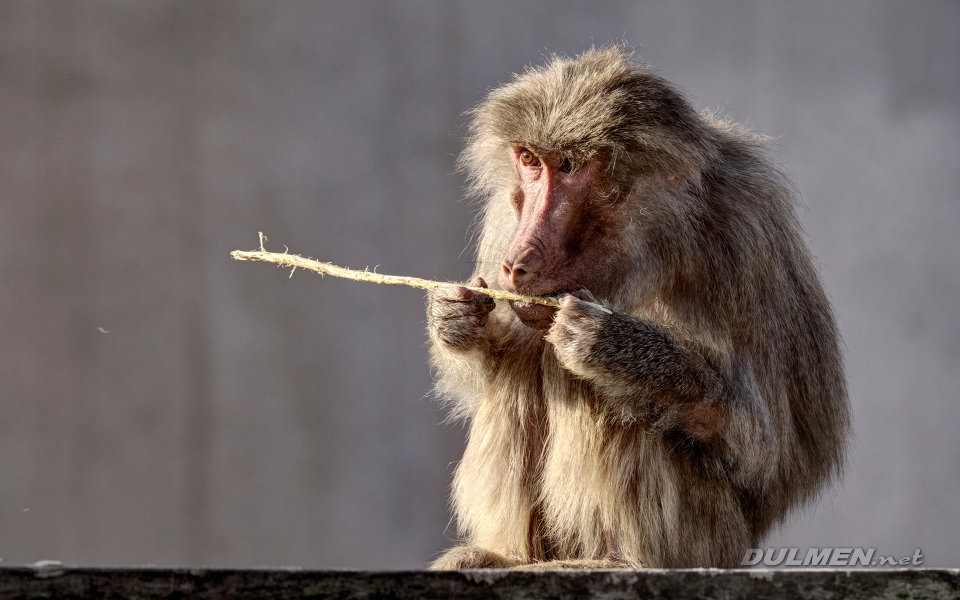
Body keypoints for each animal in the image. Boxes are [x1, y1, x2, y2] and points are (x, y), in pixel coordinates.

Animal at [425, 45, 849, 569]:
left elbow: (767, 449)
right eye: (528, 159)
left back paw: (620, 560)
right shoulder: (506, 218)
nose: (515, 264)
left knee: (600, 394)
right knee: (525, 359)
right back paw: (507, 557)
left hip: (710, 543)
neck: (652, 237)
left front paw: (614, 347)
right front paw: (454, 320)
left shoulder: (746, 229)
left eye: (569, 165)